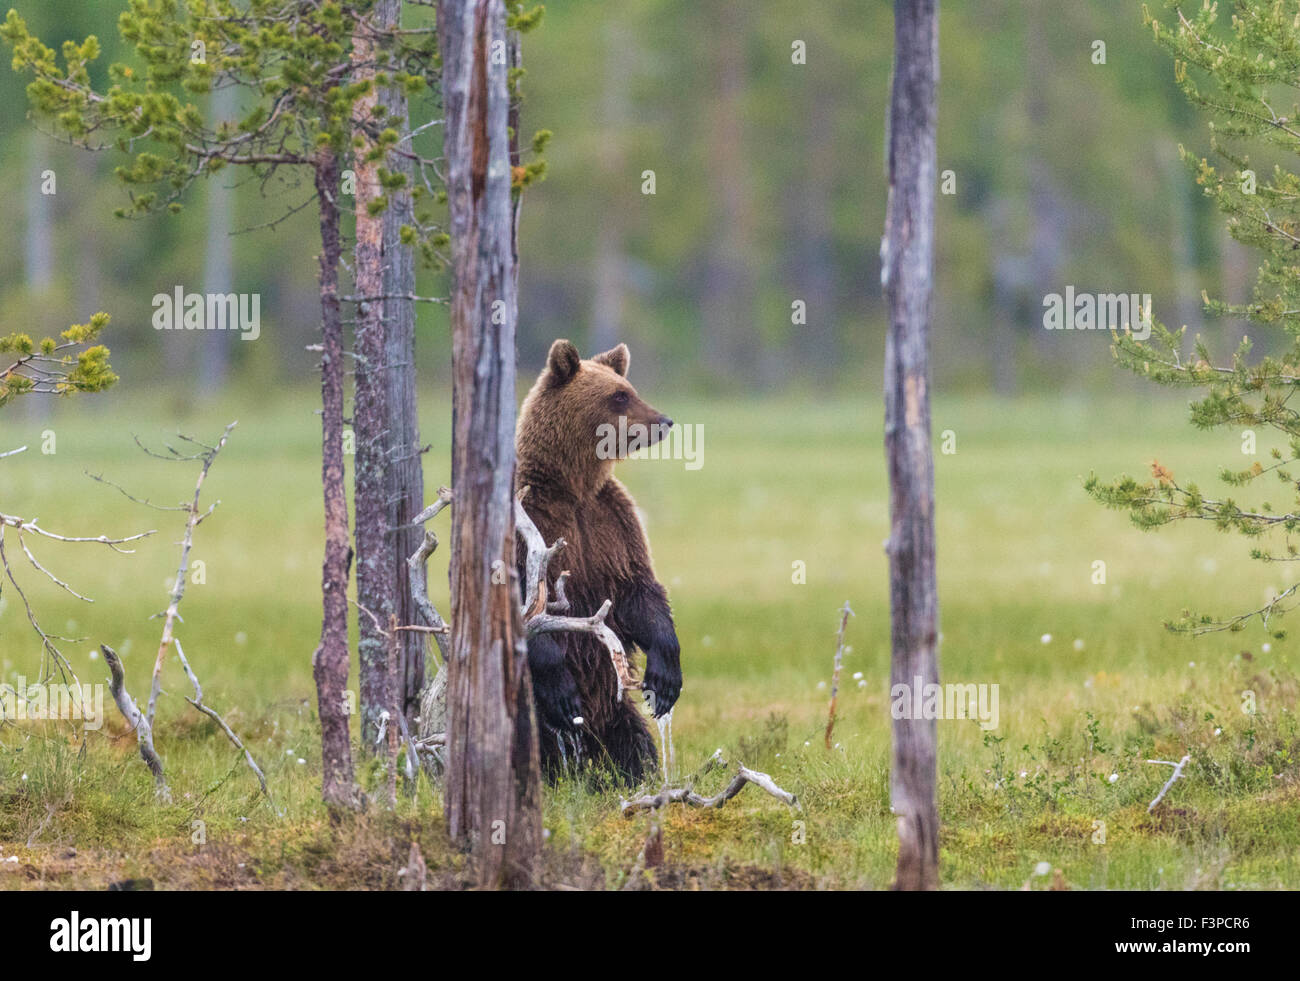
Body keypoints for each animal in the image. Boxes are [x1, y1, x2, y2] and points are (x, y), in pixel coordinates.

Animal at [514, 337, 686, 784]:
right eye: (619, 396)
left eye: (630, 388)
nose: (664, 421)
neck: (570, 487)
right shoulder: (528, 521)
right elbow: (524, 601)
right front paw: (562, 691)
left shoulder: (610, 522)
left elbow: (638, 589)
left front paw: (664, 678)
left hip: (612, 703)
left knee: (631, 737)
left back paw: (632, 772)